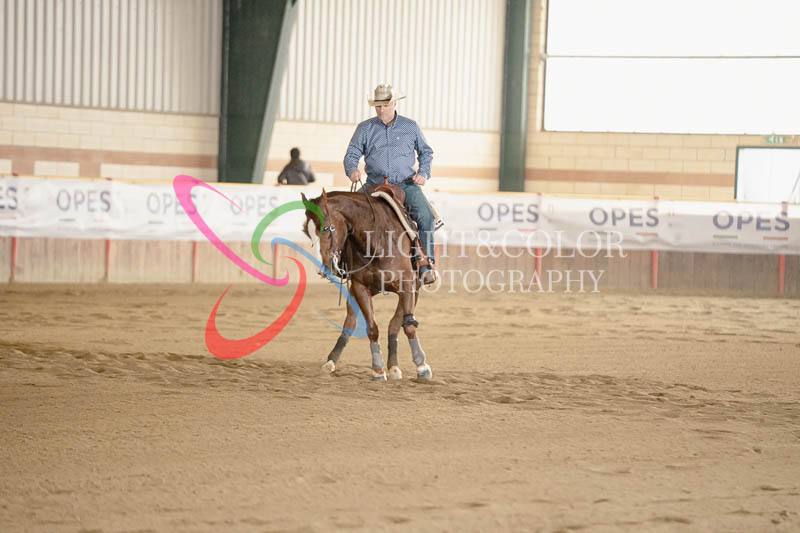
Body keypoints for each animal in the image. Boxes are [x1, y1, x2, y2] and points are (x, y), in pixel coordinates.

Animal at [301, 188, 433, 381]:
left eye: (326, 228)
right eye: (307, 231)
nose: (321, 268)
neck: (377, 240)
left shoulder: (408, 285)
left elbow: (407, 325)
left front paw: (422, 366)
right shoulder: (359, 287)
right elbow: (372, 328)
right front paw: (378, 370)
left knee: (395, 324)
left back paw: (394, 366)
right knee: (350, 322)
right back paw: (331, 361)